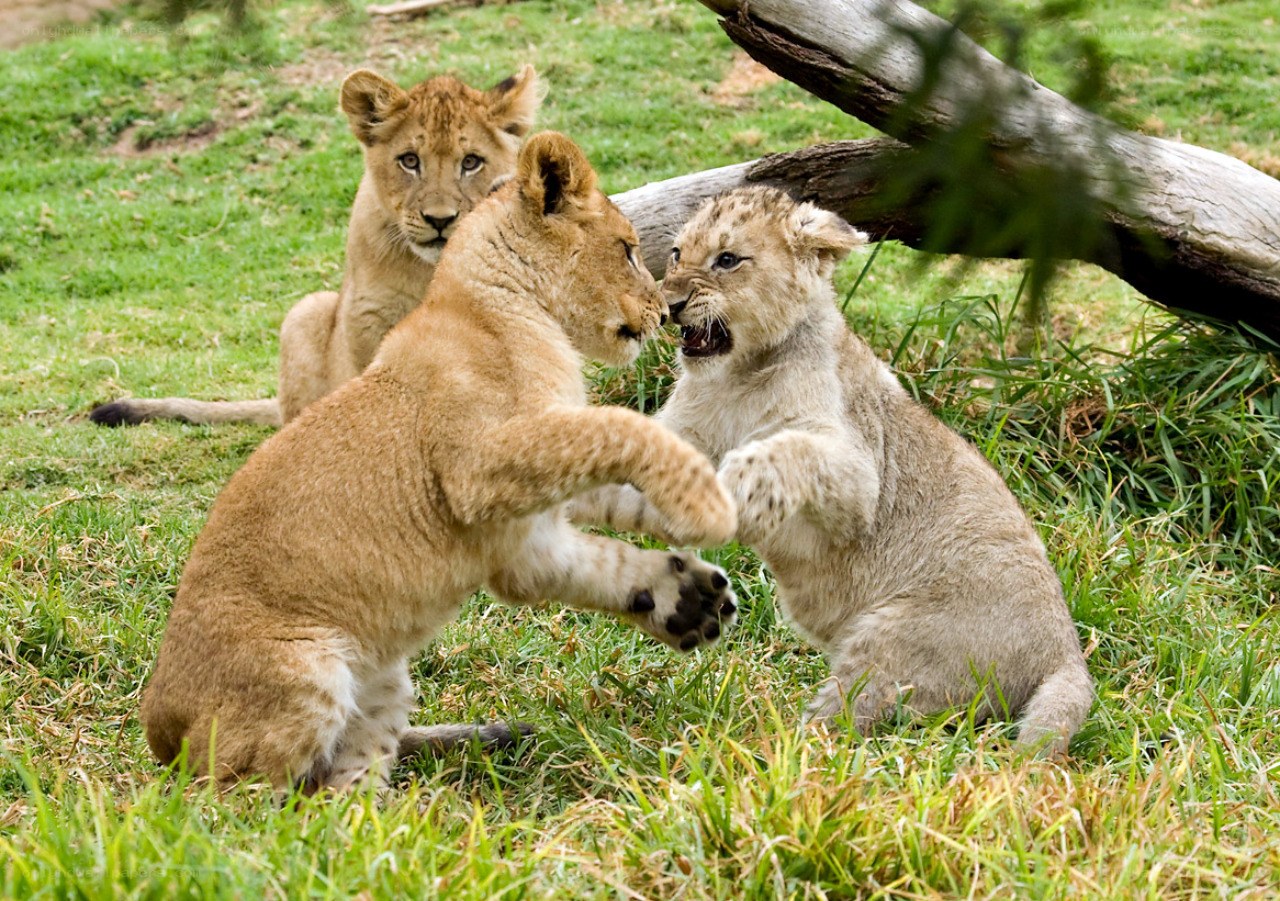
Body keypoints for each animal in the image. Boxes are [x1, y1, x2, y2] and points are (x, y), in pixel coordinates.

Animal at [140, 132, 739, 793]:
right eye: (630, 250)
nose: (664, 313)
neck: (512, 310)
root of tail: (158, 733)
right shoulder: (475, 470)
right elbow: (616, 427)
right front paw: (705, 504)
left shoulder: (525, 536)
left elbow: (604, 551)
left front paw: (691, 588)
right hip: (303, 673)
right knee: (243, 806)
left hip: (382, 680)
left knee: (345, 786)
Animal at [571, 186, 1092, 757]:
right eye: (676, 254)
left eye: (727, 260)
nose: (671, 307)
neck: (736, 376)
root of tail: (1067, 653)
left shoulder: (857, 476)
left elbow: (792, 450)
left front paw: (746, 475)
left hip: (896, 641)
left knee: (848, 721)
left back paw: (762, 749)